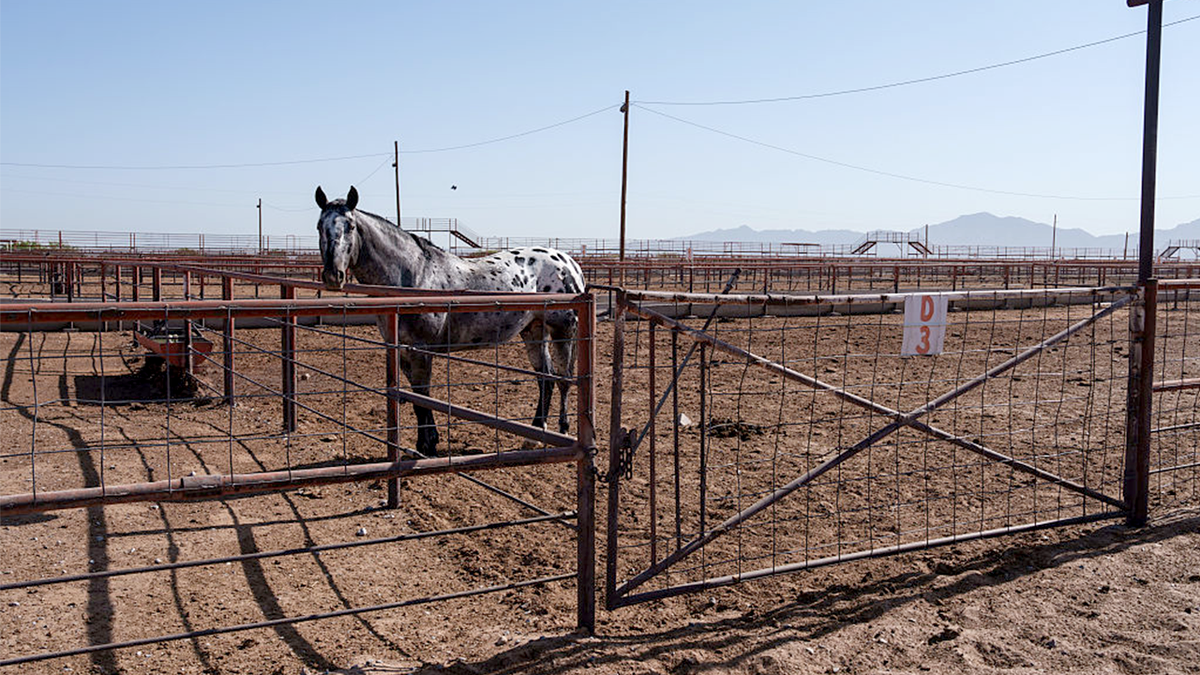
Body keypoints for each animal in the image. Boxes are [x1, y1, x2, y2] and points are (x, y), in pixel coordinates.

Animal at [315, 186, 585, 456]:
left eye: (350, 226)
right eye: (319, 226)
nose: (333, 276)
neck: (414, 274)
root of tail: (569, 263)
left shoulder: (421, 349)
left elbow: (423, 396)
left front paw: (428, 445)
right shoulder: (403, 350)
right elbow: (418, 397)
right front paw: (426, 442)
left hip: (562, 329)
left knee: (563, 379)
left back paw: (563, 431)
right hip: (533, 329)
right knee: (546, 378)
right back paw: (535, 435)